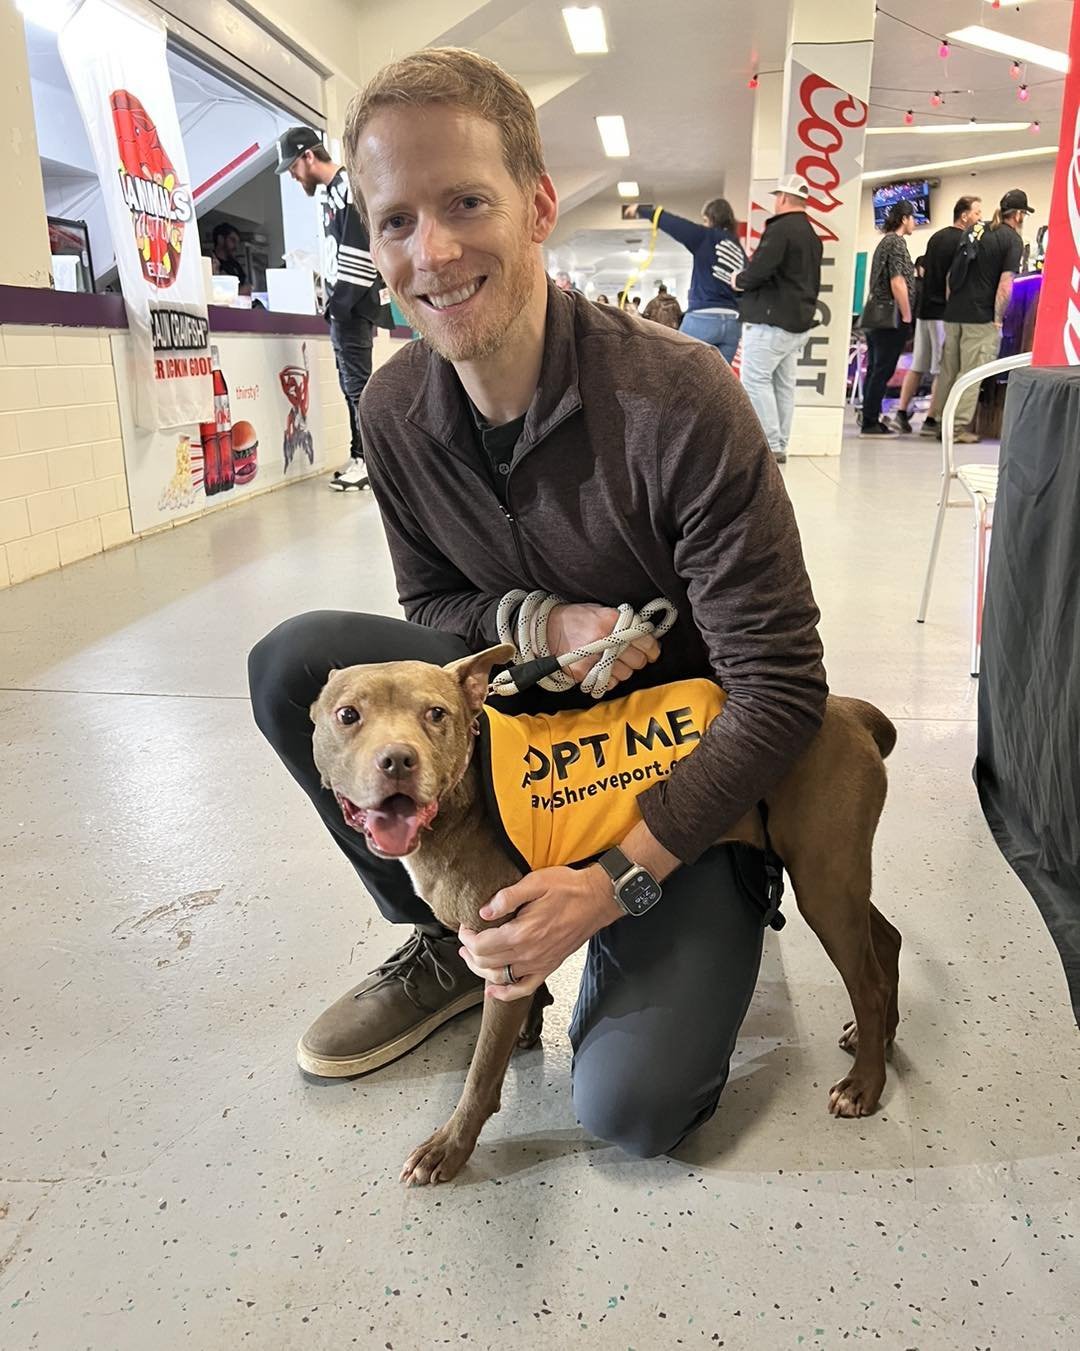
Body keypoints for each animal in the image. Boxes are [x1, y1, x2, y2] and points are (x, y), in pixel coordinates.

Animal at [308, 648, 897, 1188]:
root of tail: (847, 710)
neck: (465, 797)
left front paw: (449, 1147)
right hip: (834, 878)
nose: (397, 761)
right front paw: (529, 1027)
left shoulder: (507, 948)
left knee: (865, 982)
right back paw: (882, 1038)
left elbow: (479, 1075)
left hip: (823, 881)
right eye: (348, 715)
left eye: (436, 714)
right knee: (885, 941)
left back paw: (864, 1083)